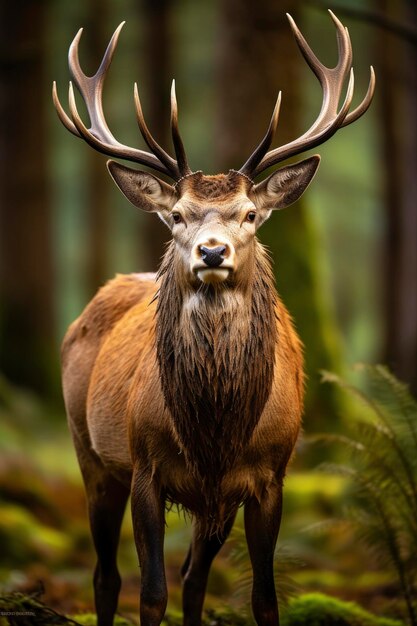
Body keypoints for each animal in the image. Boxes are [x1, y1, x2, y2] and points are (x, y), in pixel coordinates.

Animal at [52, 12, 374, 624]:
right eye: (177, 214)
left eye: (249, 214)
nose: (212, 252)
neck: (216, 429)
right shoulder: (145, 467)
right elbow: (151, 595)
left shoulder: (269, 476)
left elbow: (262, 598)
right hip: (89, 451)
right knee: (106, 575)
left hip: (208, 502)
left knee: (193, 576)